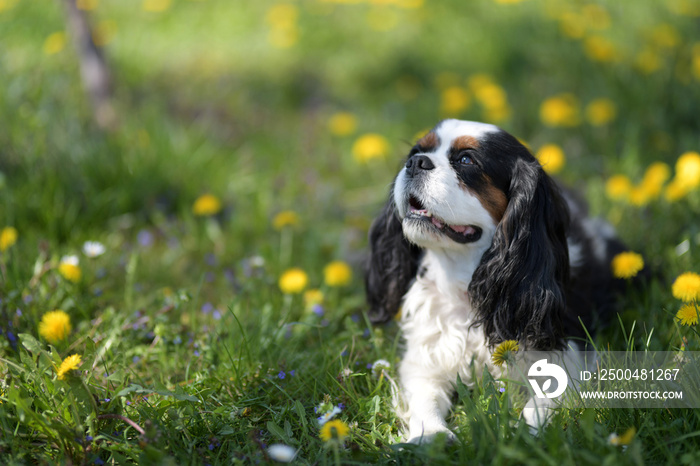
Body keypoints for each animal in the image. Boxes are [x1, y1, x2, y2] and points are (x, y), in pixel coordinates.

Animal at [364, 118, 632, 442]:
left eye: (467, 160)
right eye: (416, 151)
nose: (415, 162)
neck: (466, 284)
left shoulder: (569, 353)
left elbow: (543, 400)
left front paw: (523, 434)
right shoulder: (424, 362)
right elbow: (426, 397)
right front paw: (432, 435)